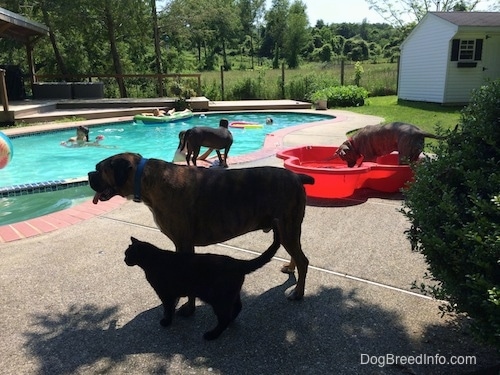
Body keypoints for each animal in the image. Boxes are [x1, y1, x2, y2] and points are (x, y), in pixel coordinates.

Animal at [86, 154, 312, 318]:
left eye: (99, 168)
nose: (89, 174)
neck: (147, 179)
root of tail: (296, 176)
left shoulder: (184, 244)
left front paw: (189, 308)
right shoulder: (180, 245)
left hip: (287, 228)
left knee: (303, 260)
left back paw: (298, 293)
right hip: (288, 230)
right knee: (296, 253)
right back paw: (290, 267)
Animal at [125, 220, 282, 340]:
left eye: (127, 254)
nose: (124, 260)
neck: (152, 260)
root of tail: (238, 262)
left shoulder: (165, 293)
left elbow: (167, 308)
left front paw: (166, 321)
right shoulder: (171, 293)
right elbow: (171, 306)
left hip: (218, 299)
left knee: (224, 318)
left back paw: (212, 335)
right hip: (231, 294)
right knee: (237, 307)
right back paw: (230, 321)